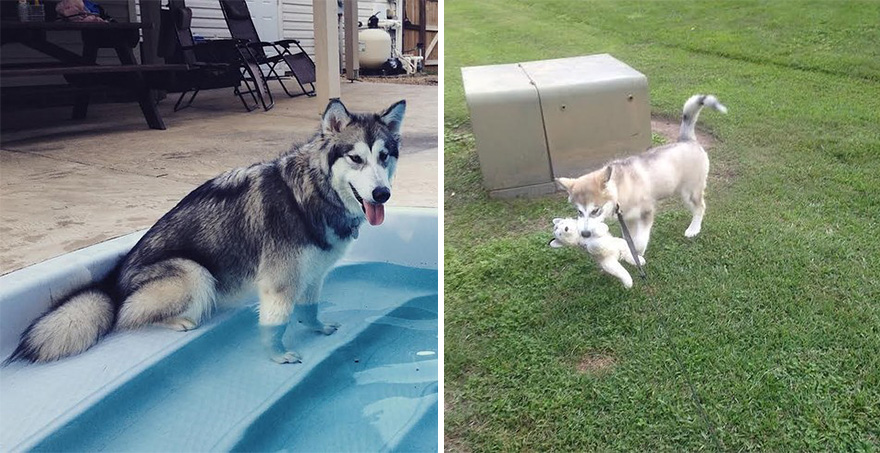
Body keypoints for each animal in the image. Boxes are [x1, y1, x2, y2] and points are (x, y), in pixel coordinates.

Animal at [6, 98, 408, 364]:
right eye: (355, 158)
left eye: (384, 156)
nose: (381, 194)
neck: (311, 192)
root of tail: (114, 281)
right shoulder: (279, 282)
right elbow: (275, 324)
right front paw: (277, 355)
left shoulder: (312, 273)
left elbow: (309, 310)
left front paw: (317, 328)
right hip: (194, 273)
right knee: (125, 315)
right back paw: (178, 321)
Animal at [556, 93, 728, 256]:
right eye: (579, 211)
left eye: (595, 210)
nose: (584, 234)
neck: (622, 187)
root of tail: (687, 140)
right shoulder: (628, 219)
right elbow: (629, 239)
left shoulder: (646, 212)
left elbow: (640, 240)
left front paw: (638, 254)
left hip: (690, 192)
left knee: (700, 207)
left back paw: (693, 229)